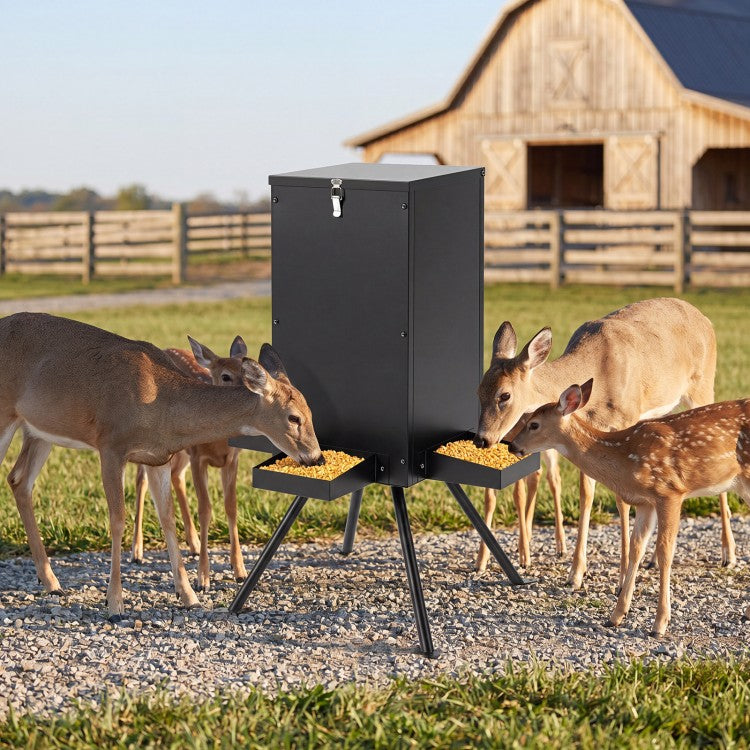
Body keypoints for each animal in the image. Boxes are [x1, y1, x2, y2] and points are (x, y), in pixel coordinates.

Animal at [131, 335, 250, 590]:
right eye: (226, 376)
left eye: (247, 373)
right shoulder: (198, 457)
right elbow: (205, 509)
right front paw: (202, 579)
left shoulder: (232, 459)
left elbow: (231, 507)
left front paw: (240, 570)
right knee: (141, 481)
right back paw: (137, 552)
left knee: (176, 476)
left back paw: (193, 544)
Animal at [474, 298, 737, 591]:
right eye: (479, 390)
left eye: (504, 395)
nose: (482, 438)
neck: (599, 374)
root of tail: (704, 317)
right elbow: (586, 494)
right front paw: (576, 573)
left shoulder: (626, 419)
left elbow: (622, 499)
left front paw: (622, 576)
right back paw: (652, 560)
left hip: (702, 386)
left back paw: (728, 554)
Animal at [508, 380, 750, 636]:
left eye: (533, 424)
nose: (511, 445)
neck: (625, 456)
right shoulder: (645, 502)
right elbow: (636, 549)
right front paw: (616, 615)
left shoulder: (670, 492)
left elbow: (665, 552)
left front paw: (659, 623)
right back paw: (746, 612)